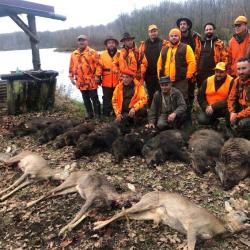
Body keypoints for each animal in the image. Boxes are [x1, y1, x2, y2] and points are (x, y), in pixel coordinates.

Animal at [94, 191, 250, 250]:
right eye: (237, 212)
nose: (247, 218)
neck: (216, 227)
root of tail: (146, 194)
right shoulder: (192, 225)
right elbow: (190, 247)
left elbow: (186, 246)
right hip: (146, 203)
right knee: (123, 211)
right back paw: (97, 226)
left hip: (148, 214)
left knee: (126, 214)